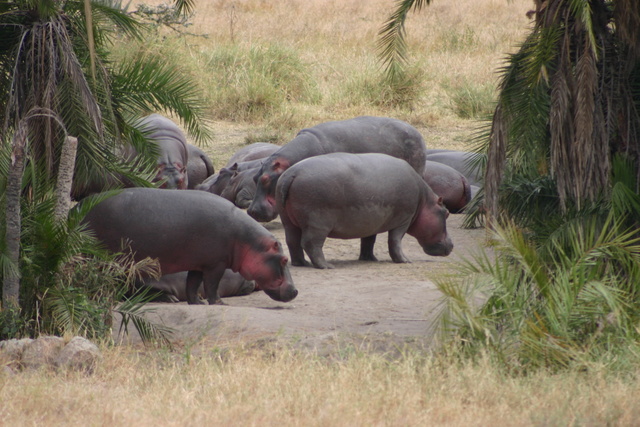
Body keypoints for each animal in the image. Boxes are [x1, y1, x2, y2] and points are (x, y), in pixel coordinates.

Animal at [82, 188, 298, 304]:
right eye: (284, 259)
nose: (295, 291)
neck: (248, 241)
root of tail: (80, 210)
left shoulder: (198, 263)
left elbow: (192, 284)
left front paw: (197, 302)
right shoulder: (216, 264)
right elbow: (211, 284)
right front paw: (218, 302)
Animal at [276, 152, 456, 270]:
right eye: (446, 213)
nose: (452, 244)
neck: (424, 200)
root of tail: (292, 174)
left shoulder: (371, 221)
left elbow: (369, 241)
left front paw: (370, 259)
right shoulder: (404, 219)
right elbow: (395, 241)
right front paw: (405, 261)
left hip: (289, 222)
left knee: (292, 241)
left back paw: (302, 263)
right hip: (317, 224)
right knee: (311, 243)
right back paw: (327, 266)